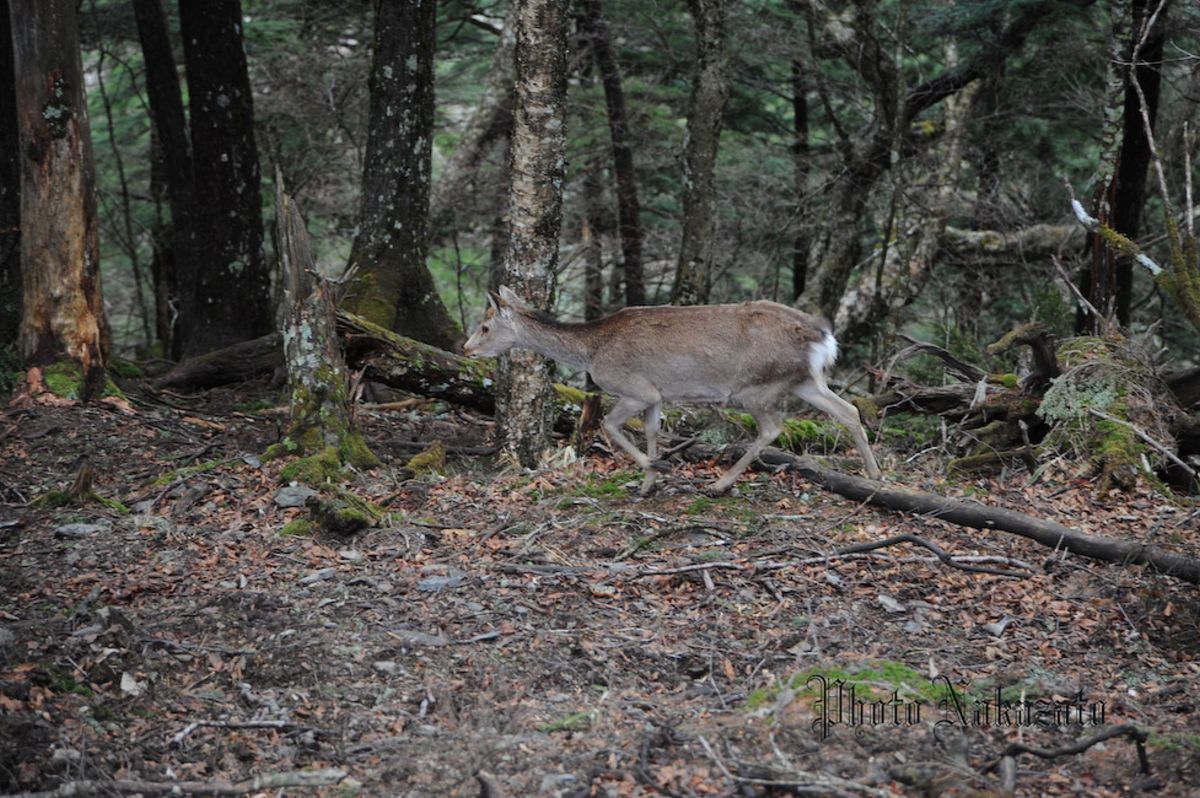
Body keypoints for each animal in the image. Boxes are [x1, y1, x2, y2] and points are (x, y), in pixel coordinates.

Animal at [463, 286, 888, 494]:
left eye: (485, 326)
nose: (466, 348)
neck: (591, 351)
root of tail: (823, 337)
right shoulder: (657, 395)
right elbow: (652, 431)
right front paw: (648, 484)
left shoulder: (636, 388)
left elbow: (610, 427)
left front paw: (658, 468)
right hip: (804, 381)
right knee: (848, 410)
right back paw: (875, 473)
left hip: (756, 386)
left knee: (772, 428)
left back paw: (720, 484)